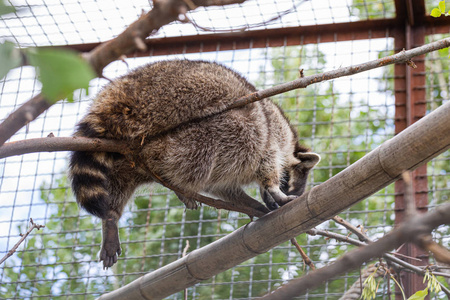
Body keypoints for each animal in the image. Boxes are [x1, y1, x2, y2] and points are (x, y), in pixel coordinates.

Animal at [68, 59, 320, 268]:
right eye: (287, 183)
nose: (272, 198)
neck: (290, 144)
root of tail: (115, 96)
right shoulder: (274, 134)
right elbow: (266, 156)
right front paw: (273, 189)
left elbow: (221, 187)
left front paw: (251, 203)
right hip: (181, 103)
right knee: (251, 125)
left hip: (123, 155)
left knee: (118, 185)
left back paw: (111, 217)